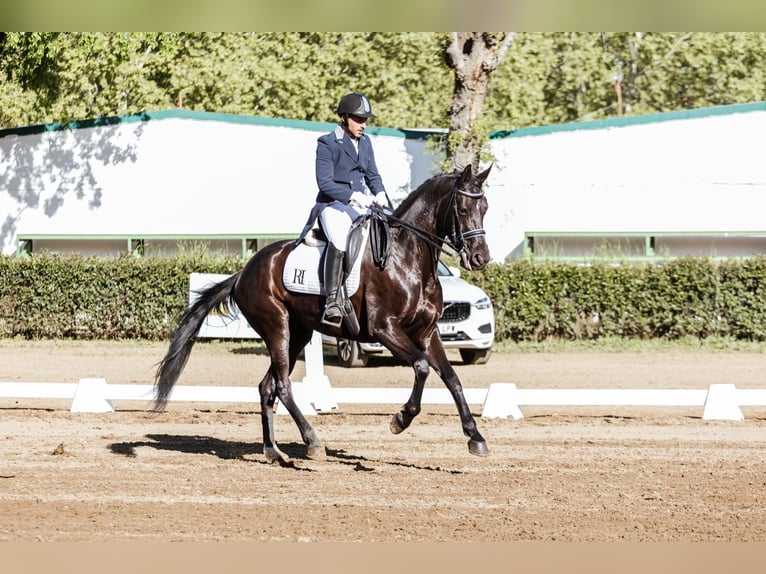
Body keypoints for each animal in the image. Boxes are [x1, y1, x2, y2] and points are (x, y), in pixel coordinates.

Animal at [153, 162, 496, 464]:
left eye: (485, 208)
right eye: (462, 210)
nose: (481, 258)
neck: (408, 257)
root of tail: (242, 273)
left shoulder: (426, 332)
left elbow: (452, 378)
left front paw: (475, 438)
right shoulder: (385, 329)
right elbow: (422, 367)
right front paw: (400, 419)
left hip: (299, 334)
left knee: (267, 386)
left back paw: (273, 452)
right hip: (278, 327)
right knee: (282, 385)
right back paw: (313, 442)